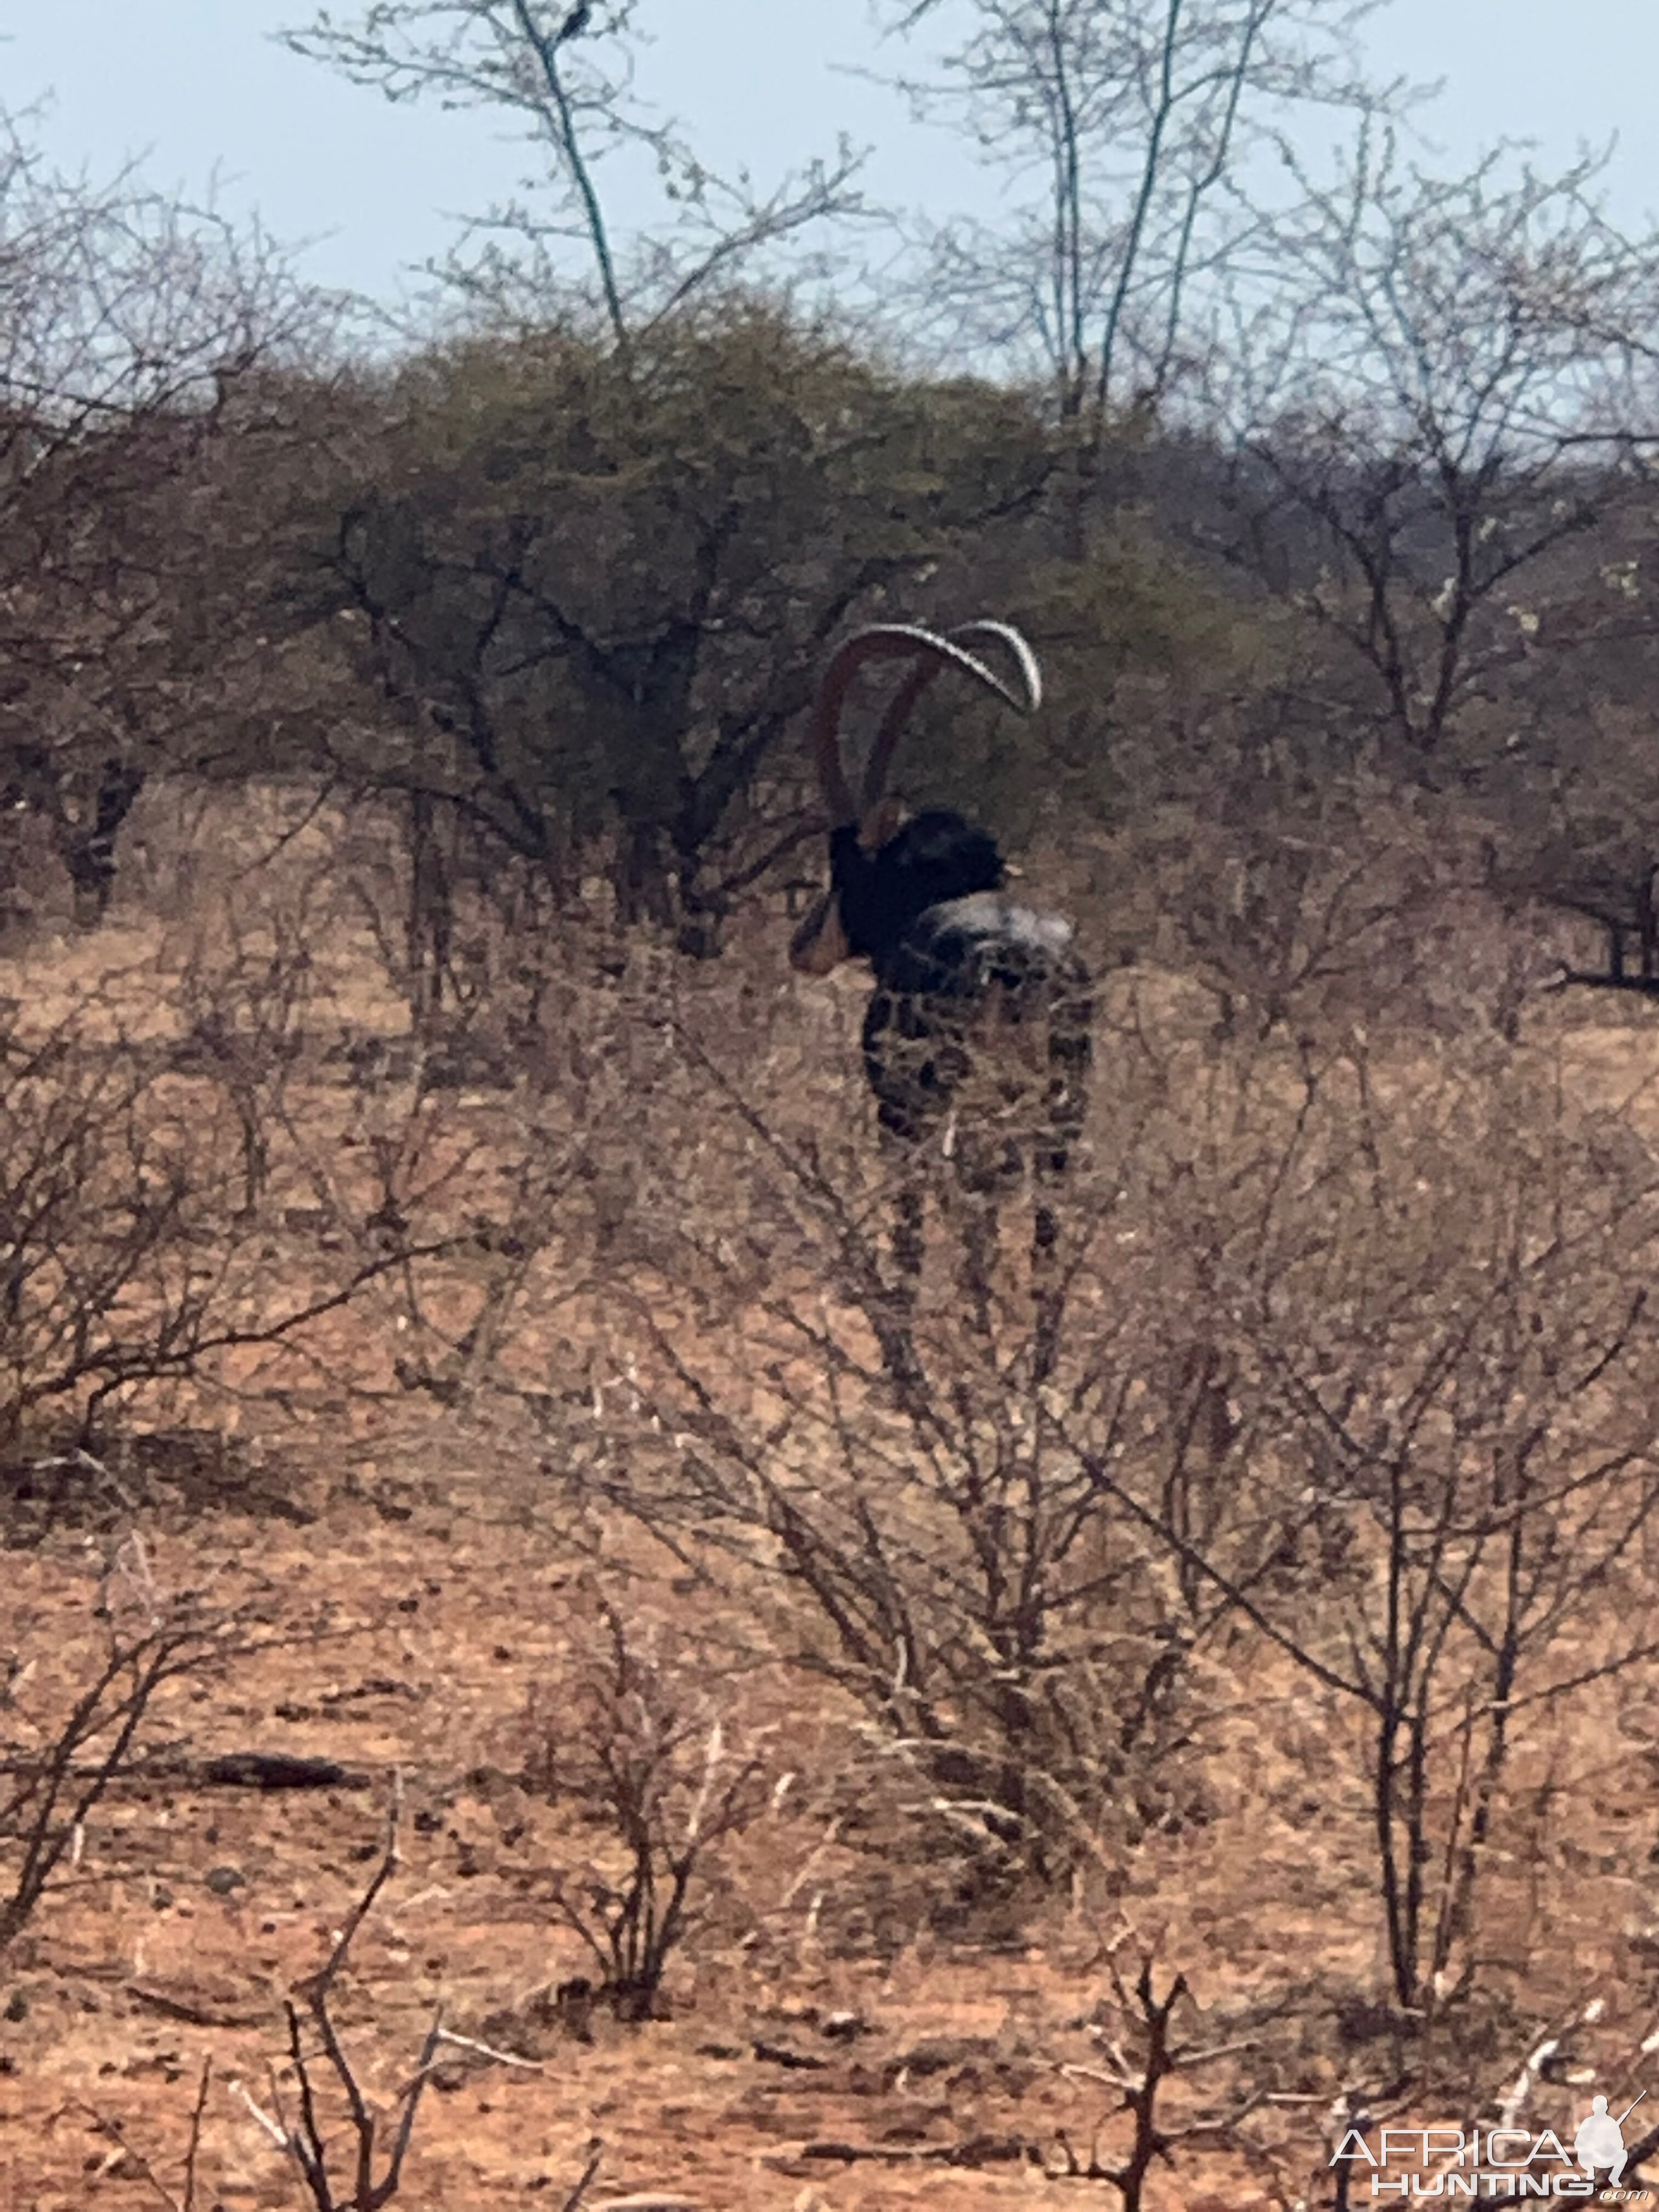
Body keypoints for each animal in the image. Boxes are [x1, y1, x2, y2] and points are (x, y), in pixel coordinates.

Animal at [787, 624, 1092, 1362]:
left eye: (845, 862)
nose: (803, 945)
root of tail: (1017, 953)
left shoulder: (898, 1116)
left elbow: (911, 1225)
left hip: (957, 1105)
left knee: (973, 1205)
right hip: (1060, 1118)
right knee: (1043, 1225)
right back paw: (1034, 1358)